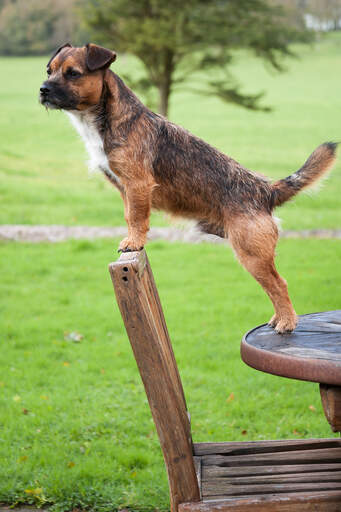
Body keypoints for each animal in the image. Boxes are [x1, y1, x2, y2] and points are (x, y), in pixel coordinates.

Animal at [39, 43, 334, 332]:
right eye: (49, 70)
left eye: (73, 73)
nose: (43, 89)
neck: (110, 119)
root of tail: (265, 190)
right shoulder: (125, 189)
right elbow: (128, 215)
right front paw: (131, 240)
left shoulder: (137, 184)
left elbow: (137, 217)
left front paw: (134, 242)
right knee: (272, 287)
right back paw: (278, 318)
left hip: (252, 254)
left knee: (279, 284)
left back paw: (287, 322)